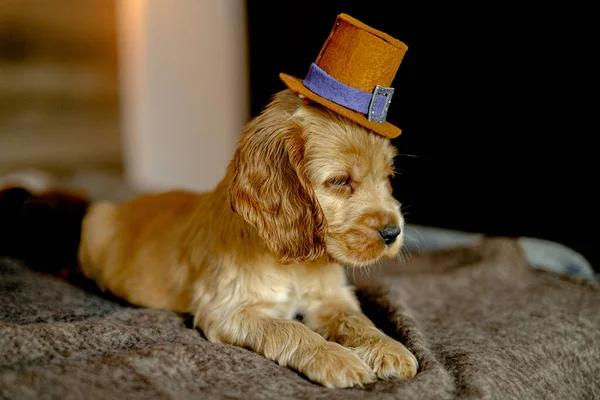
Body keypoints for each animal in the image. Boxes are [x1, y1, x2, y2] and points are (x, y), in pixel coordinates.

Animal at [78, 90, 418, 388]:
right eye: (339, 181)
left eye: (388, 177)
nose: (393, 232)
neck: (294, 262)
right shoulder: (229, 310)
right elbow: (291, 329)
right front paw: (336, 359)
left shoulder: (331, 298)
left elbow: (357, 320)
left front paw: (388, 348)